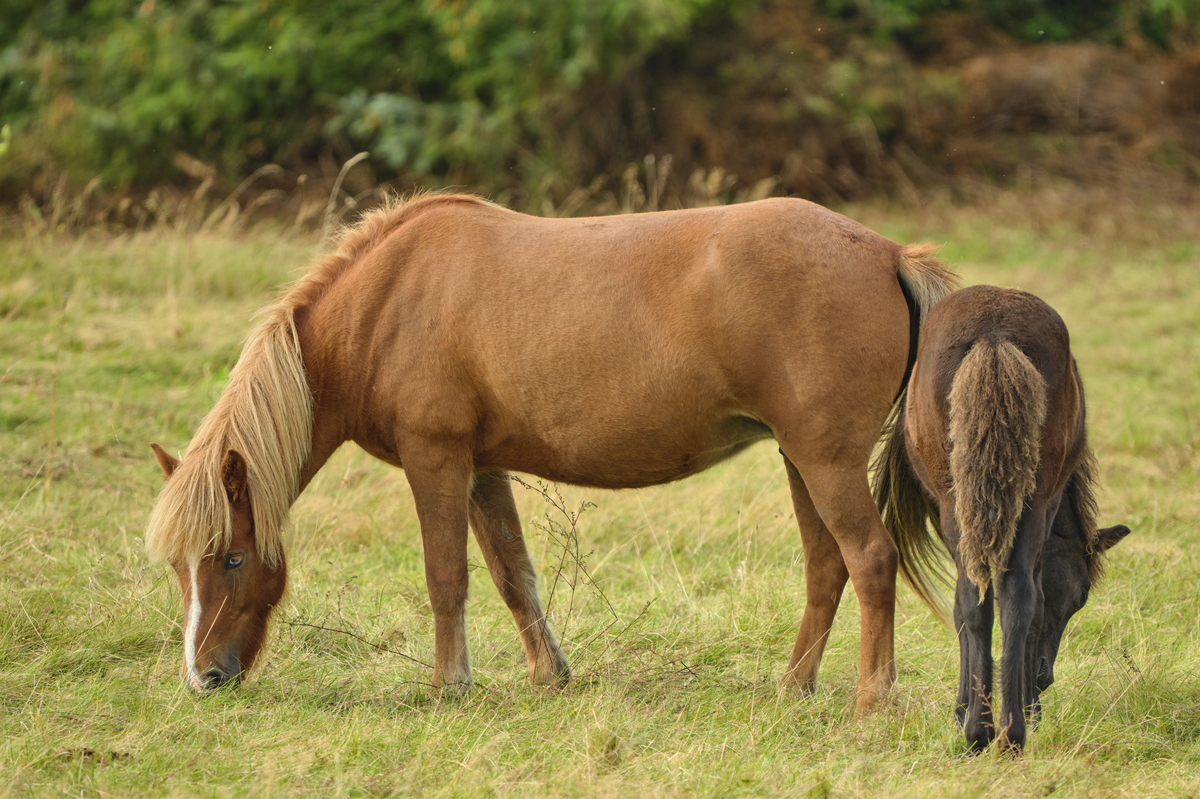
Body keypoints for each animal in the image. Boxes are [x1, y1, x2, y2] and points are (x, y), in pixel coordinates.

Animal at [145, 192, 957, 711]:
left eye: (231, 558)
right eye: (180, 567)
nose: (203, 677)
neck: (387, 303)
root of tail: (887, 253)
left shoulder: (436, 460)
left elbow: (447, 576)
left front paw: (448, 686)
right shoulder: (482, 468)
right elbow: (514, 575)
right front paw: (549, 676)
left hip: (824, 460)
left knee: (869, 558)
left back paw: (872, 697)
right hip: (801, 460)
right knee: (828, 566)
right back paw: (794, 687)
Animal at [873, 285, 1130, 752]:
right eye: (1082, 595)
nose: (1044, 678)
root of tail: (995, 336)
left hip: (969, 505)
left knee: (979, 597)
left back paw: (985, 729)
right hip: (1027, 502)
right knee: (1012, 596)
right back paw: (1006, 732)